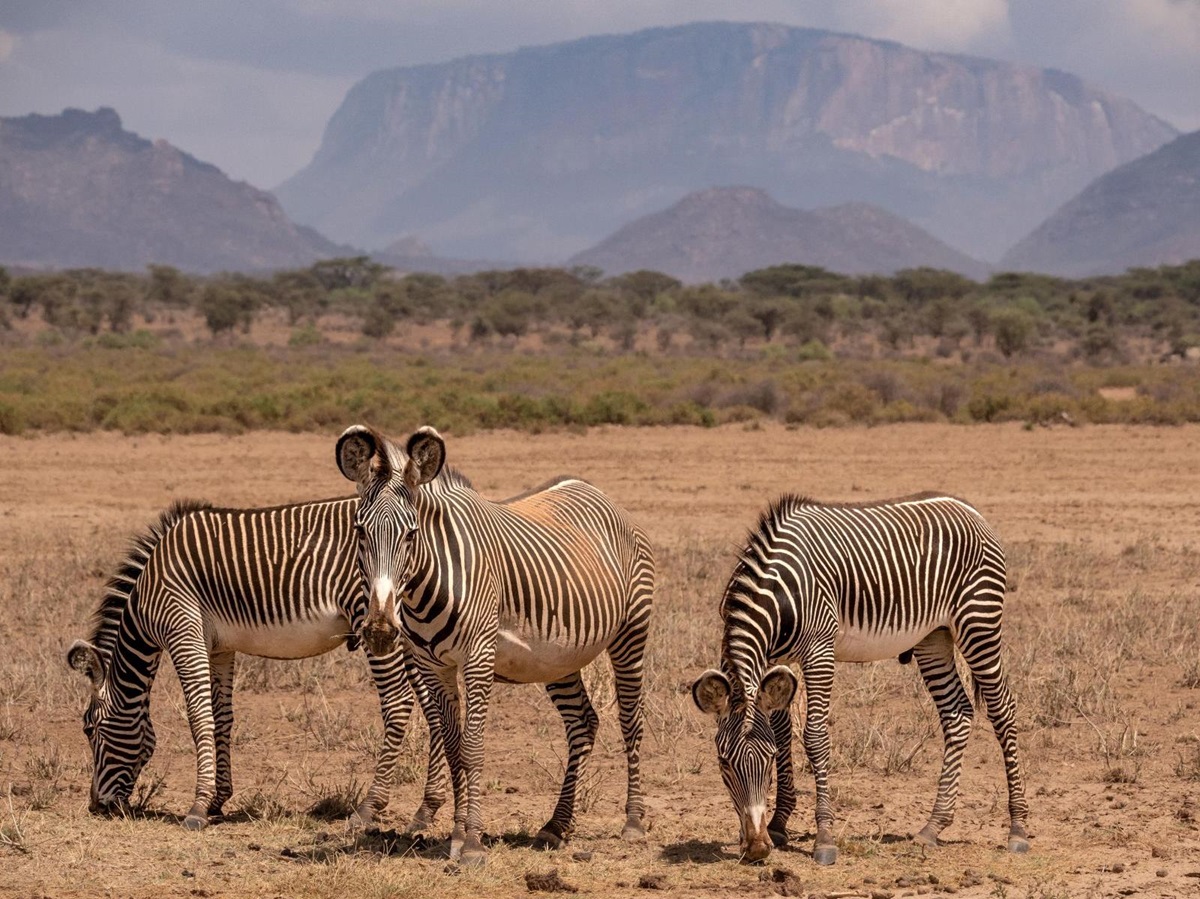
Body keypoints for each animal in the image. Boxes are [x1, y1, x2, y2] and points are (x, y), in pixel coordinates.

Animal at [66, 497, 447, 831]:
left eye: (89, 729)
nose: (96, 806)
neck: (147, 596)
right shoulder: (220, 648)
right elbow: (221, 719)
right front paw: (218, 799)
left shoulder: (183, 632)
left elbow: (199, 718)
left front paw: (198, 807)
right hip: (414, 634)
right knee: (435, 707)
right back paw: (427, 809)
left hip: (377, 626)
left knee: (398, 703)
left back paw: (369, 808)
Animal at [335, 424, 655, 866]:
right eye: (359, 531)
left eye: (412, 534)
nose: (381, 630)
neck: (428, 582)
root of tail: (595, 491)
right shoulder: (433, 666)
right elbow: (453, 747)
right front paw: (454, 836)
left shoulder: (478, 658)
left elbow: (472, 748)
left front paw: (471, 842)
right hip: (558, 657)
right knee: (583, 723)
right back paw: (556, 825)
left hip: (631, 633)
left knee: (630, 721)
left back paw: (634, 821)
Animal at [691, 492, 1029, 865]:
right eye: (723, 763)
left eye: (766, 762)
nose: (755, 847)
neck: (775, 591)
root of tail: (969, 509)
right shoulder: (776, 660)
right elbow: (782, 732)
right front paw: (778, 824)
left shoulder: (819, 651)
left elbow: (814, 736)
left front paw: (824, 837)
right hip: (934, 636)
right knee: (957, 714)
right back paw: (933, 826)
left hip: (978, 622)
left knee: (1003, 710)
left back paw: (1017, 828)